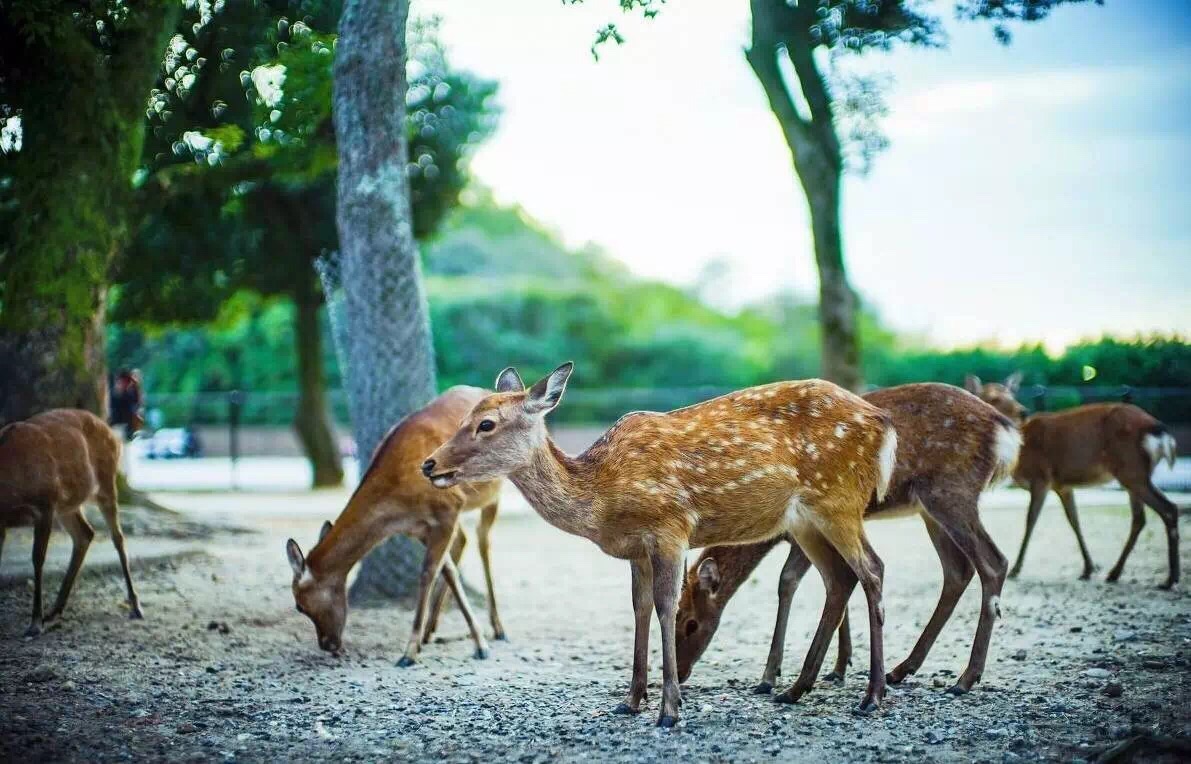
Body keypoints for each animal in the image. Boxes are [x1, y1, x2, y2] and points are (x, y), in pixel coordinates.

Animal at [0, 407, 144, 634]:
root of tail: (113, 434)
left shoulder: (45, 506)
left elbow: (38, 559)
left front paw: (35, 623)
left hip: (105, 484)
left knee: (117, 538)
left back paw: (135, 606)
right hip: (68, 504)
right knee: (85, 533)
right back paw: (55, 610)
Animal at [290, 383, 509, 662]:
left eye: (299, 605)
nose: (327, 644)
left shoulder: (449, 506)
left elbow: (427, 573)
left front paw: (411, 651)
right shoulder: (420, 527)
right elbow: (447, 571)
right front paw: (462, 639)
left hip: (494, 492)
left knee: (483, 541)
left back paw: (498, 628)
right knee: (464, 540)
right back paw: (431, 630)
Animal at [423, 359, 895, 724]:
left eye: (486, 424)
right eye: (465, 418)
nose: (429, 464)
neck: (604, 497)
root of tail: (883, 424)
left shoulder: (671, 528)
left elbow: (667, 607)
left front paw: (670, 708)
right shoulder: (636, 549)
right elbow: (640, 607)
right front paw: (631, 701)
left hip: (838, 499)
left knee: (873, 569)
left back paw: (872, 696)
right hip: (805, 520)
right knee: (839, 578)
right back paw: (794, 690)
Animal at [676, 383, 1019, 696]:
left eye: (691, 623)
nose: (680, 674)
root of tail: (1005, 430)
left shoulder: (801, 530)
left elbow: (788, 582)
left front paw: (770, 676)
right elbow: (837, 583)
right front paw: (838, 666)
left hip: (951, 492)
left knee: (993, 562)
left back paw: (965, 678)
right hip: (929, 508)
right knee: (958, 569)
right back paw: (902, 669)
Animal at [967, 371, 1181, 586]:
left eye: (1012, 395)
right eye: (994, 398)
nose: (1023, 412)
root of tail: (1161, 431)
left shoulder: (1041, 477)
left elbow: (1030, 521)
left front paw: (1016, 569)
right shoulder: (1062, 485)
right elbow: (1074, 521)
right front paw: (1088, 568)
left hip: (1131, 469)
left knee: (1167, 509)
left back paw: (1170, 578)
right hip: (1135, 473)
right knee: (1141, 518)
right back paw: (1116, 573)